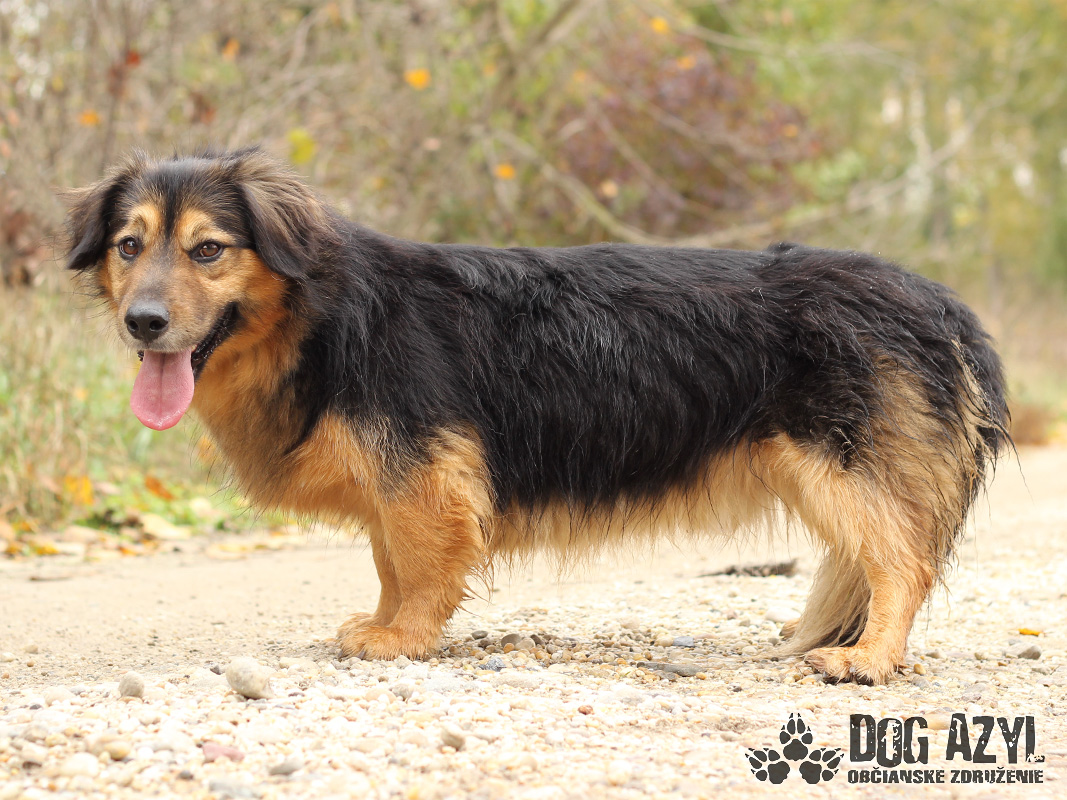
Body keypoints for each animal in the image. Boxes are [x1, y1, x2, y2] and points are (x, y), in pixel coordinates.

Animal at [65, 147, 1009, 684]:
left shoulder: (425, 470)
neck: (324, 316)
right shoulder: (404, 479)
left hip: (838, 465)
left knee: (903, 565)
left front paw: (403, 639)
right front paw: (383, 622)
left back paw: (868, 657)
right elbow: (388, 560)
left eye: (208, 250)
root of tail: (936, 300)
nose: (143, 322)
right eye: (128, 246)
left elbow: (420, 565)